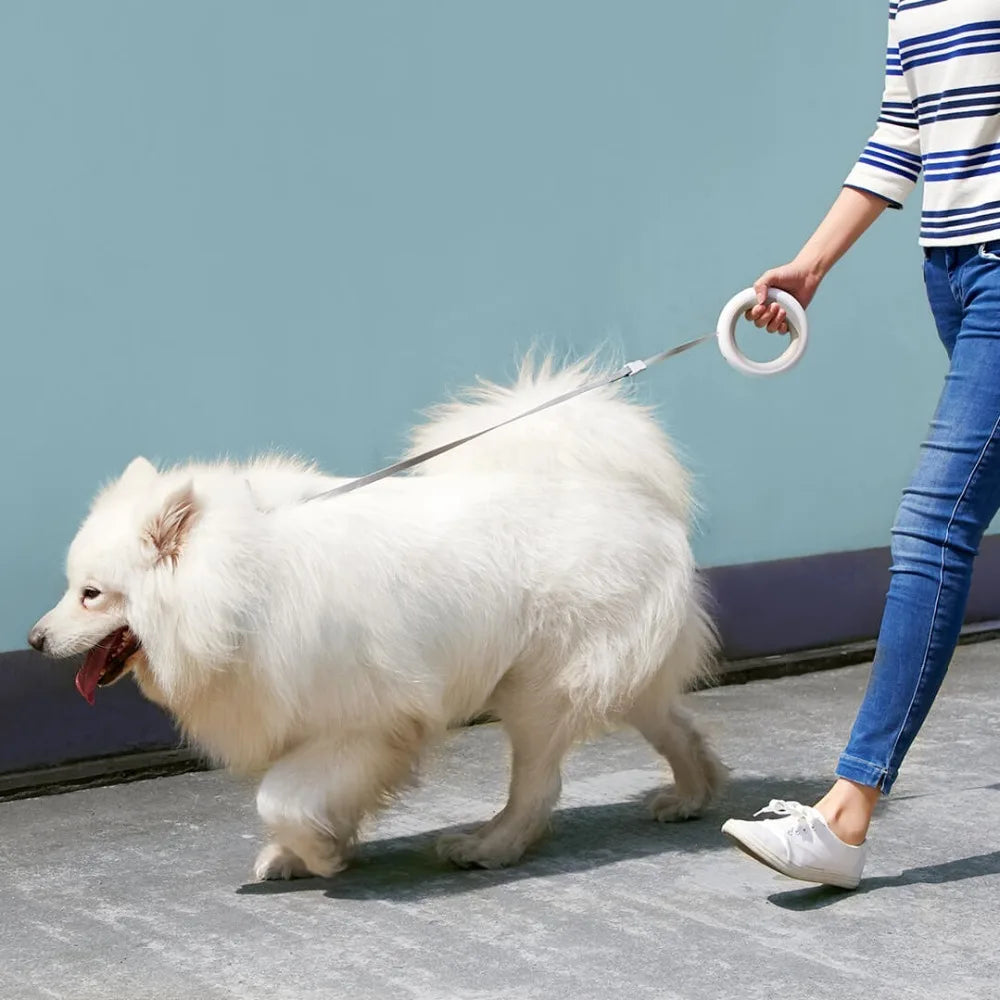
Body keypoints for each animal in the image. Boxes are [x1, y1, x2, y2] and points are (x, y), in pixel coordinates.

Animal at [27, 356, 724, 880]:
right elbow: (309, 799)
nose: (33, 640)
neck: (238, 587)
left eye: (92, 594)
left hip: (539, 690)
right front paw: (307, 851)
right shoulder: (318, 727)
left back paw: (489, 846)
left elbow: (279, 798)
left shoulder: (364, 723)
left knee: (539, 786)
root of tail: (626, 497)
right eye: (70, 587)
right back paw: (692, 796)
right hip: (600, 680)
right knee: (677, 728)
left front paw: (319, 855)